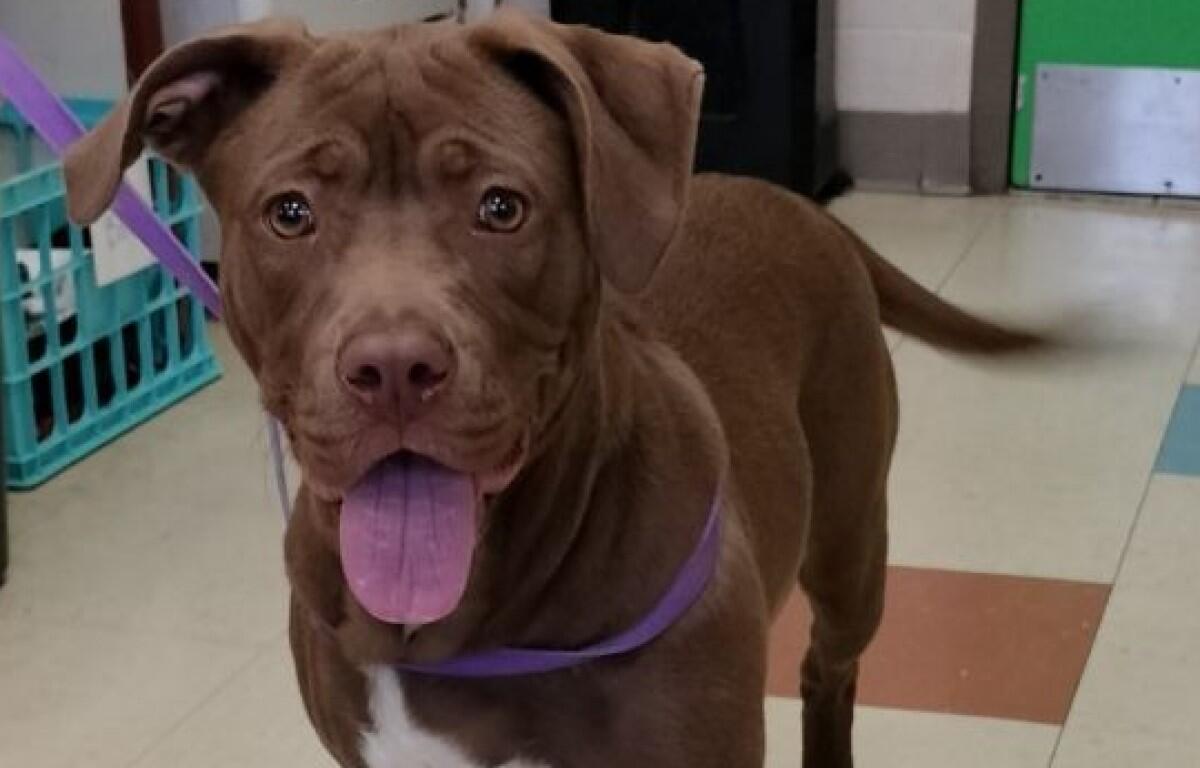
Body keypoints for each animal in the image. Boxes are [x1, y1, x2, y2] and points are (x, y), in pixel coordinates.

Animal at [64, 10, 1040, 767]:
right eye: (290, 213)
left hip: (849, 548)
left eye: (501, 206)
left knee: (829, 671)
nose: (392, 368)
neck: (459, 632)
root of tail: (799, 201)